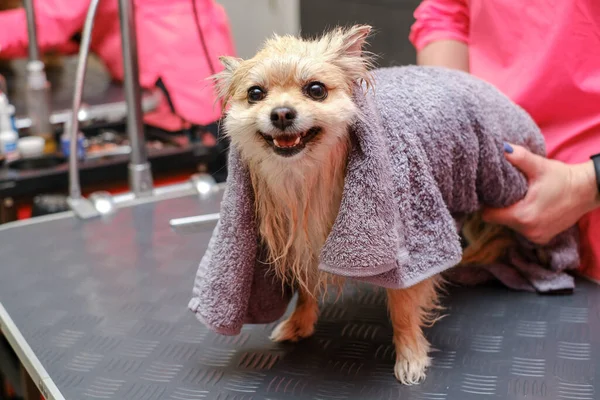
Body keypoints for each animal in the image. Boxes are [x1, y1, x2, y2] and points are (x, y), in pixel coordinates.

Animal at [213, 24, 512, 384]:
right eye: (256, 94)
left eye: (316, 90)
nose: (281, 113)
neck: (308, 180)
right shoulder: (302, 240)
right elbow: (305, 288)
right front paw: (300, 322)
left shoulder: (406, 247)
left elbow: (403, 305)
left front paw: (410, 354)